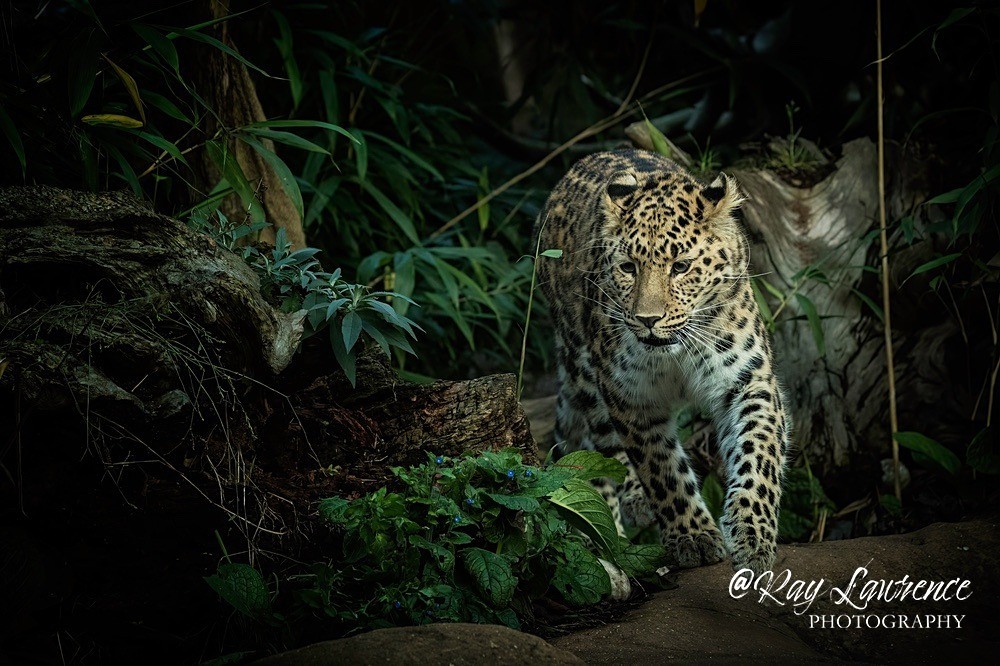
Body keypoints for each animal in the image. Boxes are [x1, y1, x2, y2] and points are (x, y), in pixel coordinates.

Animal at [535, 148, 790, 575]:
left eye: (681, 266)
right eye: (628, 267)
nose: (647, 319)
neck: (678, 353)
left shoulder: (748, 381)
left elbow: (758, 454)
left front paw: (751, 534)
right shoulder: (629, 396)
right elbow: (661, 470)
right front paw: (694, 536)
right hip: (584, 369)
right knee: (600, 451)